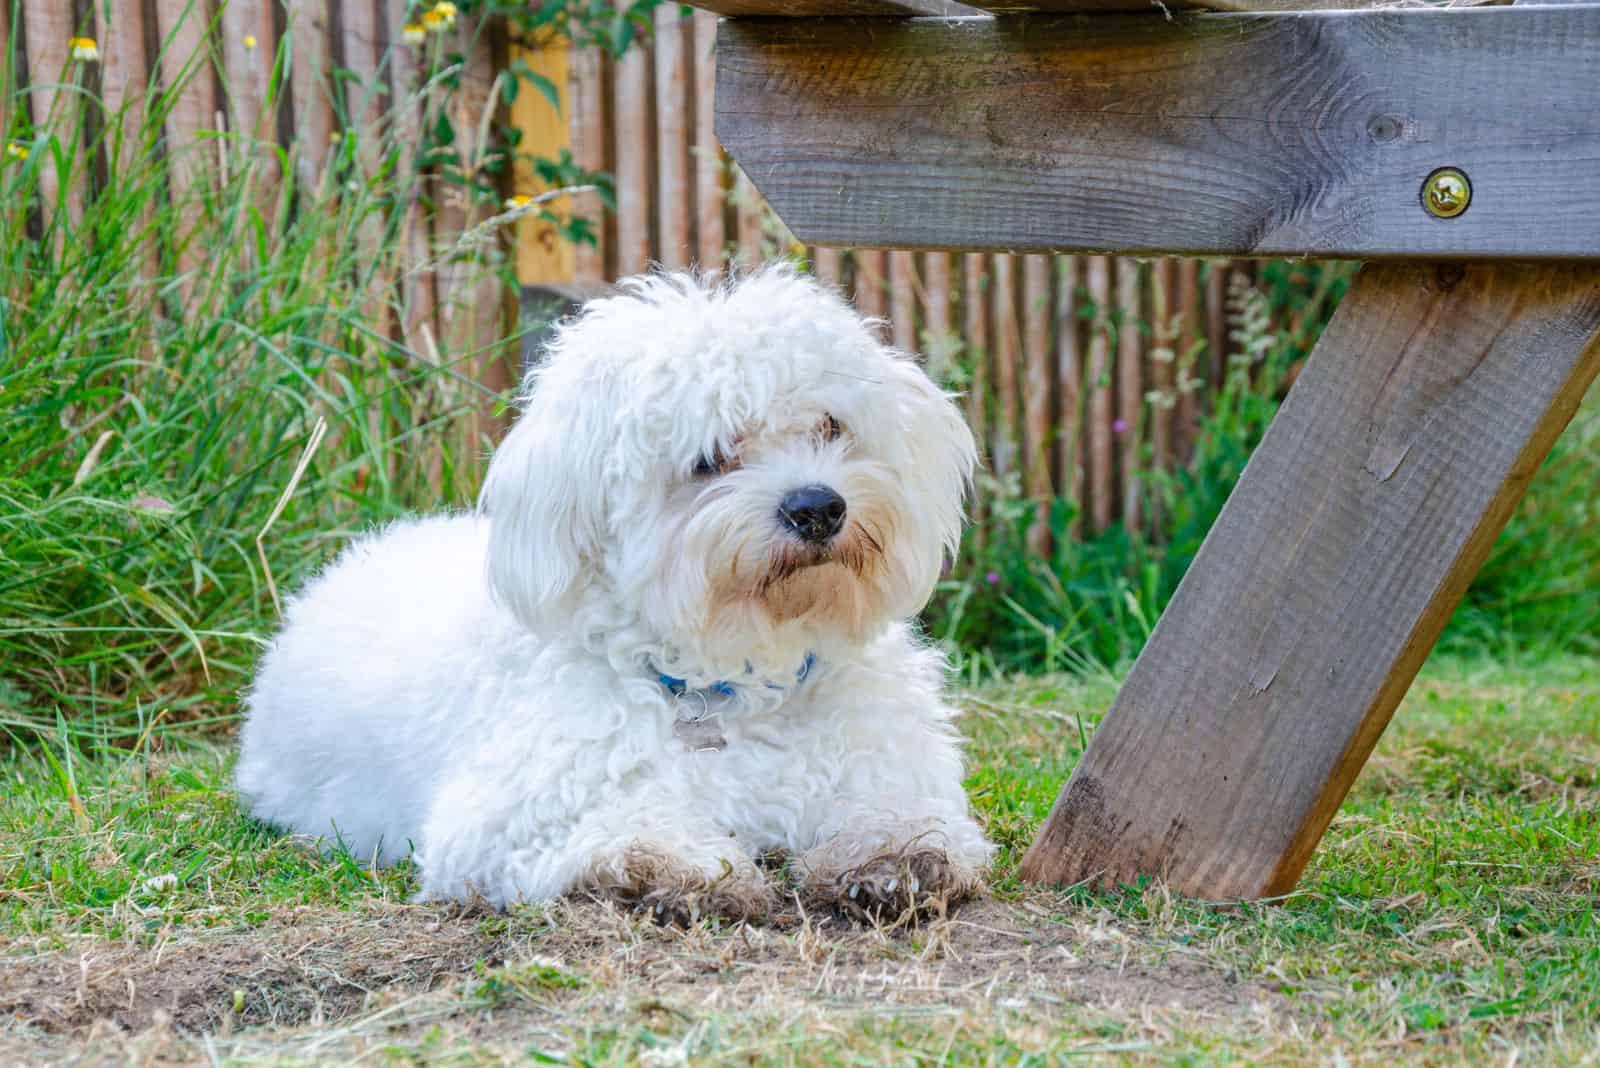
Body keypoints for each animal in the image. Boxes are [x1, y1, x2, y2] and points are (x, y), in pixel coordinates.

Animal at [236, 265, 992, 920]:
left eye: (832, 426)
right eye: (708, 458)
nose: (818, 508)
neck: (738, 680)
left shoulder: (888, 770)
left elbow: (897, 815)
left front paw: (892, 854)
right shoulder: (503, 819)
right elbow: (622, 829)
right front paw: (670, 863)